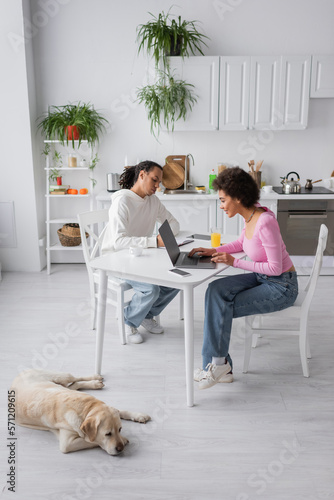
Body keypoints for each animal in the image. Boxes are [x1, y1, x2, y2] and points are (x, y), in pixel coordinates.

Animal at [11, 370, 150, 456]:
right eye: (107, 434)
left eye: (120, 429)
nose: (120, 448)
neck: (85, 408)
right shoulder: (67, 443)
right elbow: (91, 441)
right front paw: (124, 439)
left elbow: (121, 411)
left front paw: (138, 415)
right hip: (60, 378)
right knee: (74, 382)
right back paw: (95, 381)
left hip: (61, 378)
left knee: (75, 381)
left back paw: (95, 379)